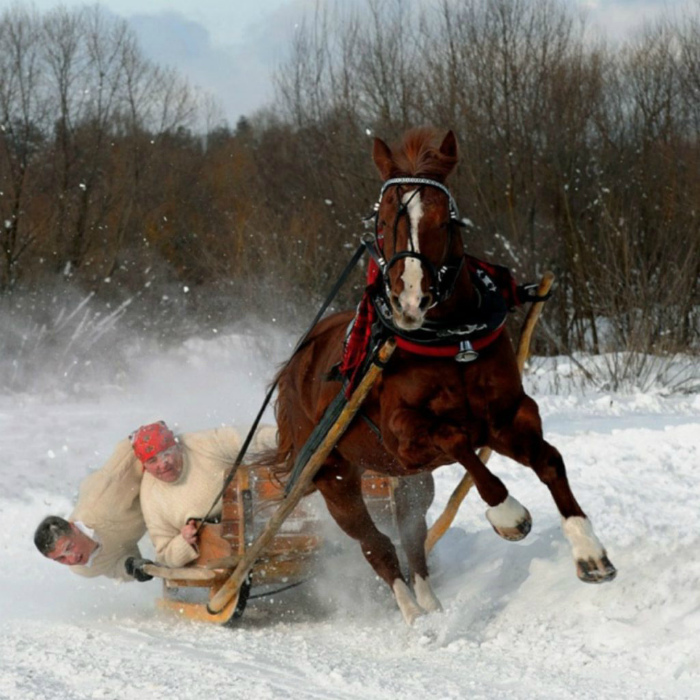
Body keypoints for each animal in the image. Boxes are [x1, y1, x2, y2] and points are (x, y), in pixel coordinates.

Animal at [270, 127, 616, 624]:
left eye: (445, 220)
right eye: (383, 219)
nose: (410, 300)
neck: (453, 342)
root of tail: (295, 363)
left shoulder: (507, 416)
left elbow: (550, 461)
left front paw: (589, 552)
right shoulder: (404, 436)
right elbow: (457, 441)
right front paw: (508, 515)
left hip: (406, 480)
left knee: (412, 537)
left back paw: (430, 605)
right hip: (333, 475)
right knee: (376, 546)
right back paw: (413, 616)